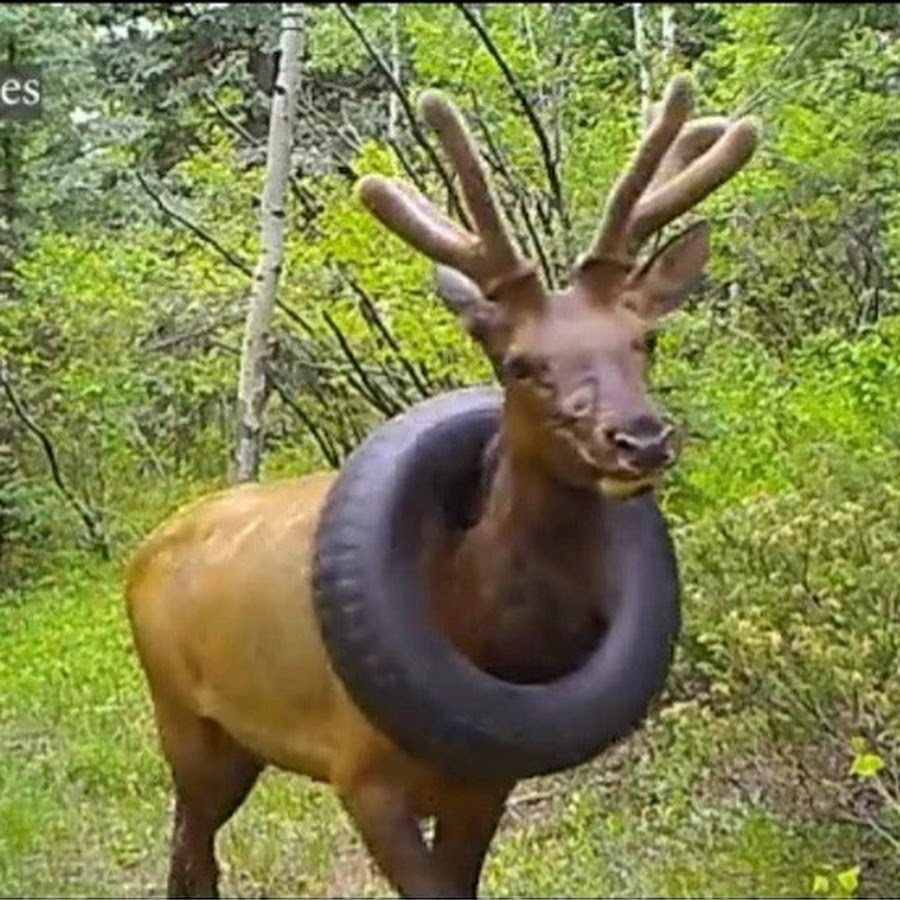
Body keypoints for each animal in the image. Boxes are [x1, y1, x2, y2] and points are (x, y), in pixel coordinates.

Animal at [125, 74, 758, 899]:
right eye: (519, 362)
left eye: (643, 339)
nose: (640, 439)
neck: (474, 618)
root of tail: (141, 555)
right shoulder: (360, 771)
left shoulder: (485, 783)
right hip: (186, 719)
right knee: (191, 850)